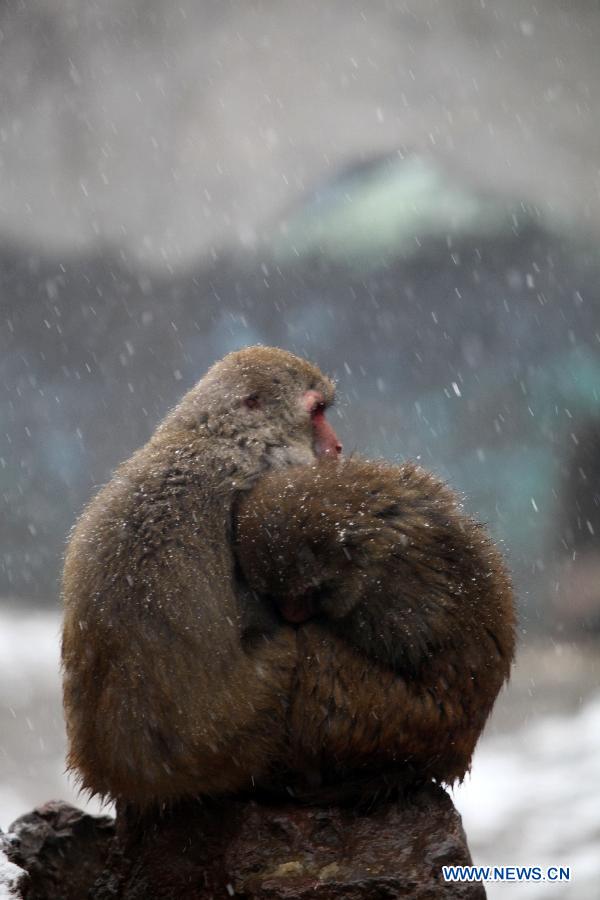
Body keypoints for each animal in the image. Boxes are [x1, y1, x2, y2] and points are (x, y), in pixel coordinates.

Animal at [62, 348, 342, 804]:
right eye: (316, 412)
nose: (336, 447)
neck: (218, 436)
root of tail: (117, 774)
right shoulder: (271, 481)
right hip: (244, 725)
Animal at [234, 460, 516, 792]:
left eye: (311, 592)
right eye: (275, 596)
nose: (292, 615)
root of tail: (455, 757)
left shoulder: (393, 591)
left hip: (403, 724)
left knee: (317, 650)